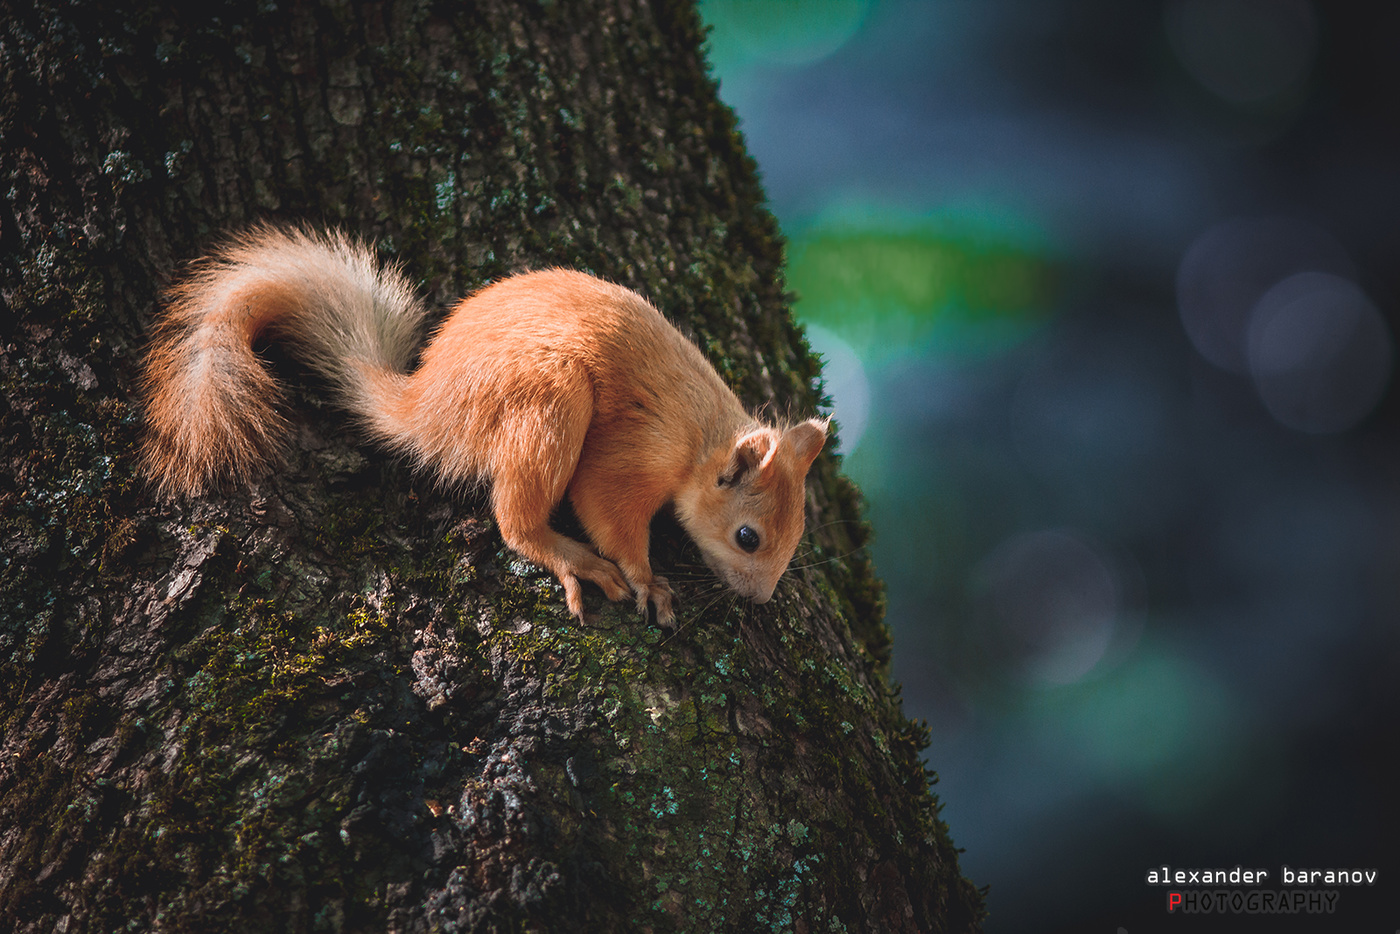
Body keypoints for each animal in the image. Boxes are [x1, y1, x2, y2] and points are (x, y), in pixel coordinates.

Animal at [137, 222, 823, 624]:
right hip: (547, 401)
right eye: (747, 537)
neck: (702, 437)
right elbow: (605, 508)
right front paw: (646, 578)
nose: (760, 600)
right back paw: (569, 559)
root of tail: (426, 406)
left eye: (797, 537)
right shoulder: (637, 452)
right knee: (516, 523)